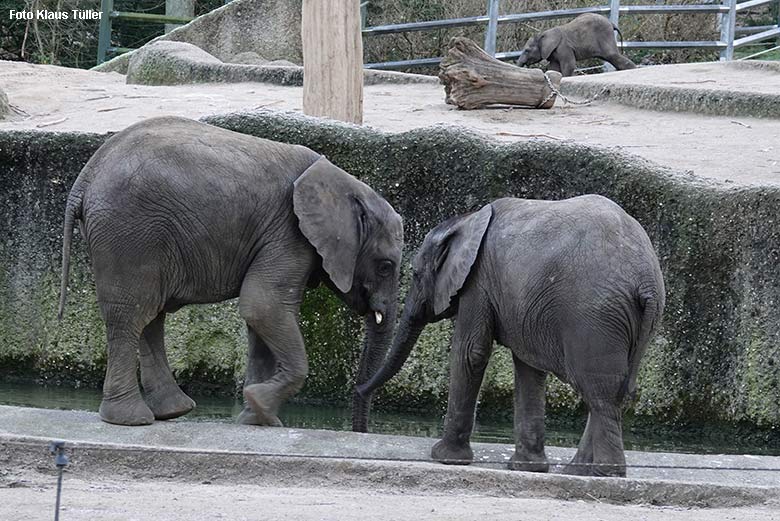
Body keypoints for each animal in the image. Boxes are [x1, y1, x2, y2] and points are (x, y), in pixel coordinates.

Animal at [59, 116, 402, 428]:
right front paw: (259, 405)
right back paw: (131, 420)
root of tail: (85, 177)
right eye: (386, 267)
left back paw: (171, 411)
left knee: (150, 315)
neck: (344, 184)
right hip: (127, 232)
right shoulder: (289, 233)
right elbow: (263, 306)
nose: (361, 429)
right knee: (131, 314)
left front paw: (257, 419)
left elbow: (262, 317)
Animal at [360, 194, 664, 476]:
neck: (466, 221)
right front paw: (527, 468)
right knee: (611, 392)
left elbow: (470, 352)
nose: (358, 390)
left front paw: (445, 458)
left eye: (414, 274)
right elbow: (528, 368)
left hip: (595, 318)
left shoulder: (478, 280)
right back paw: (576, 471)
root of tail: (646, 281)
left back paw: (604, 474)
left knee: (600, 393)